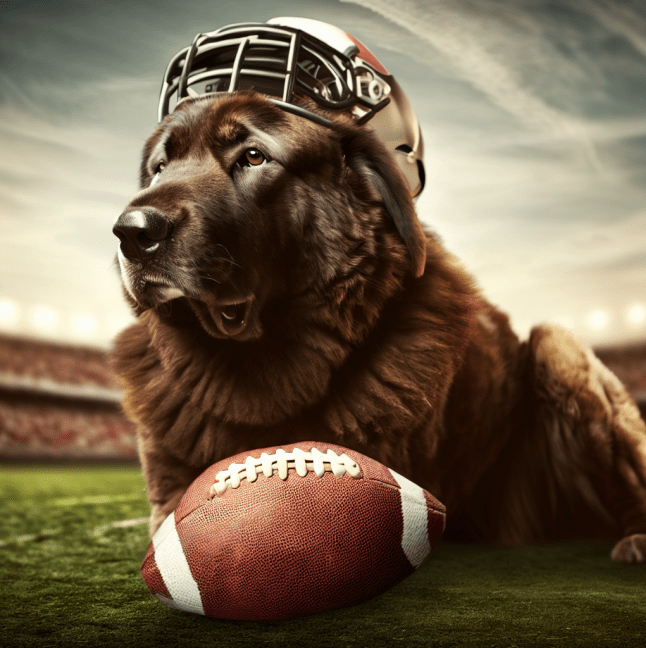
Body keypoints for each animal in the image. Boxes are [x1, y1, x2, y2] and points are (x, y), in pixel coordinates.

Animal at [110, 91, 646, 560]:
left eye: (254, 156)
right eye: (159, 167)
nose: (132, 232)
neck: (264, 371)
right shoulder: (168, 492)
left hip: (557, 348)